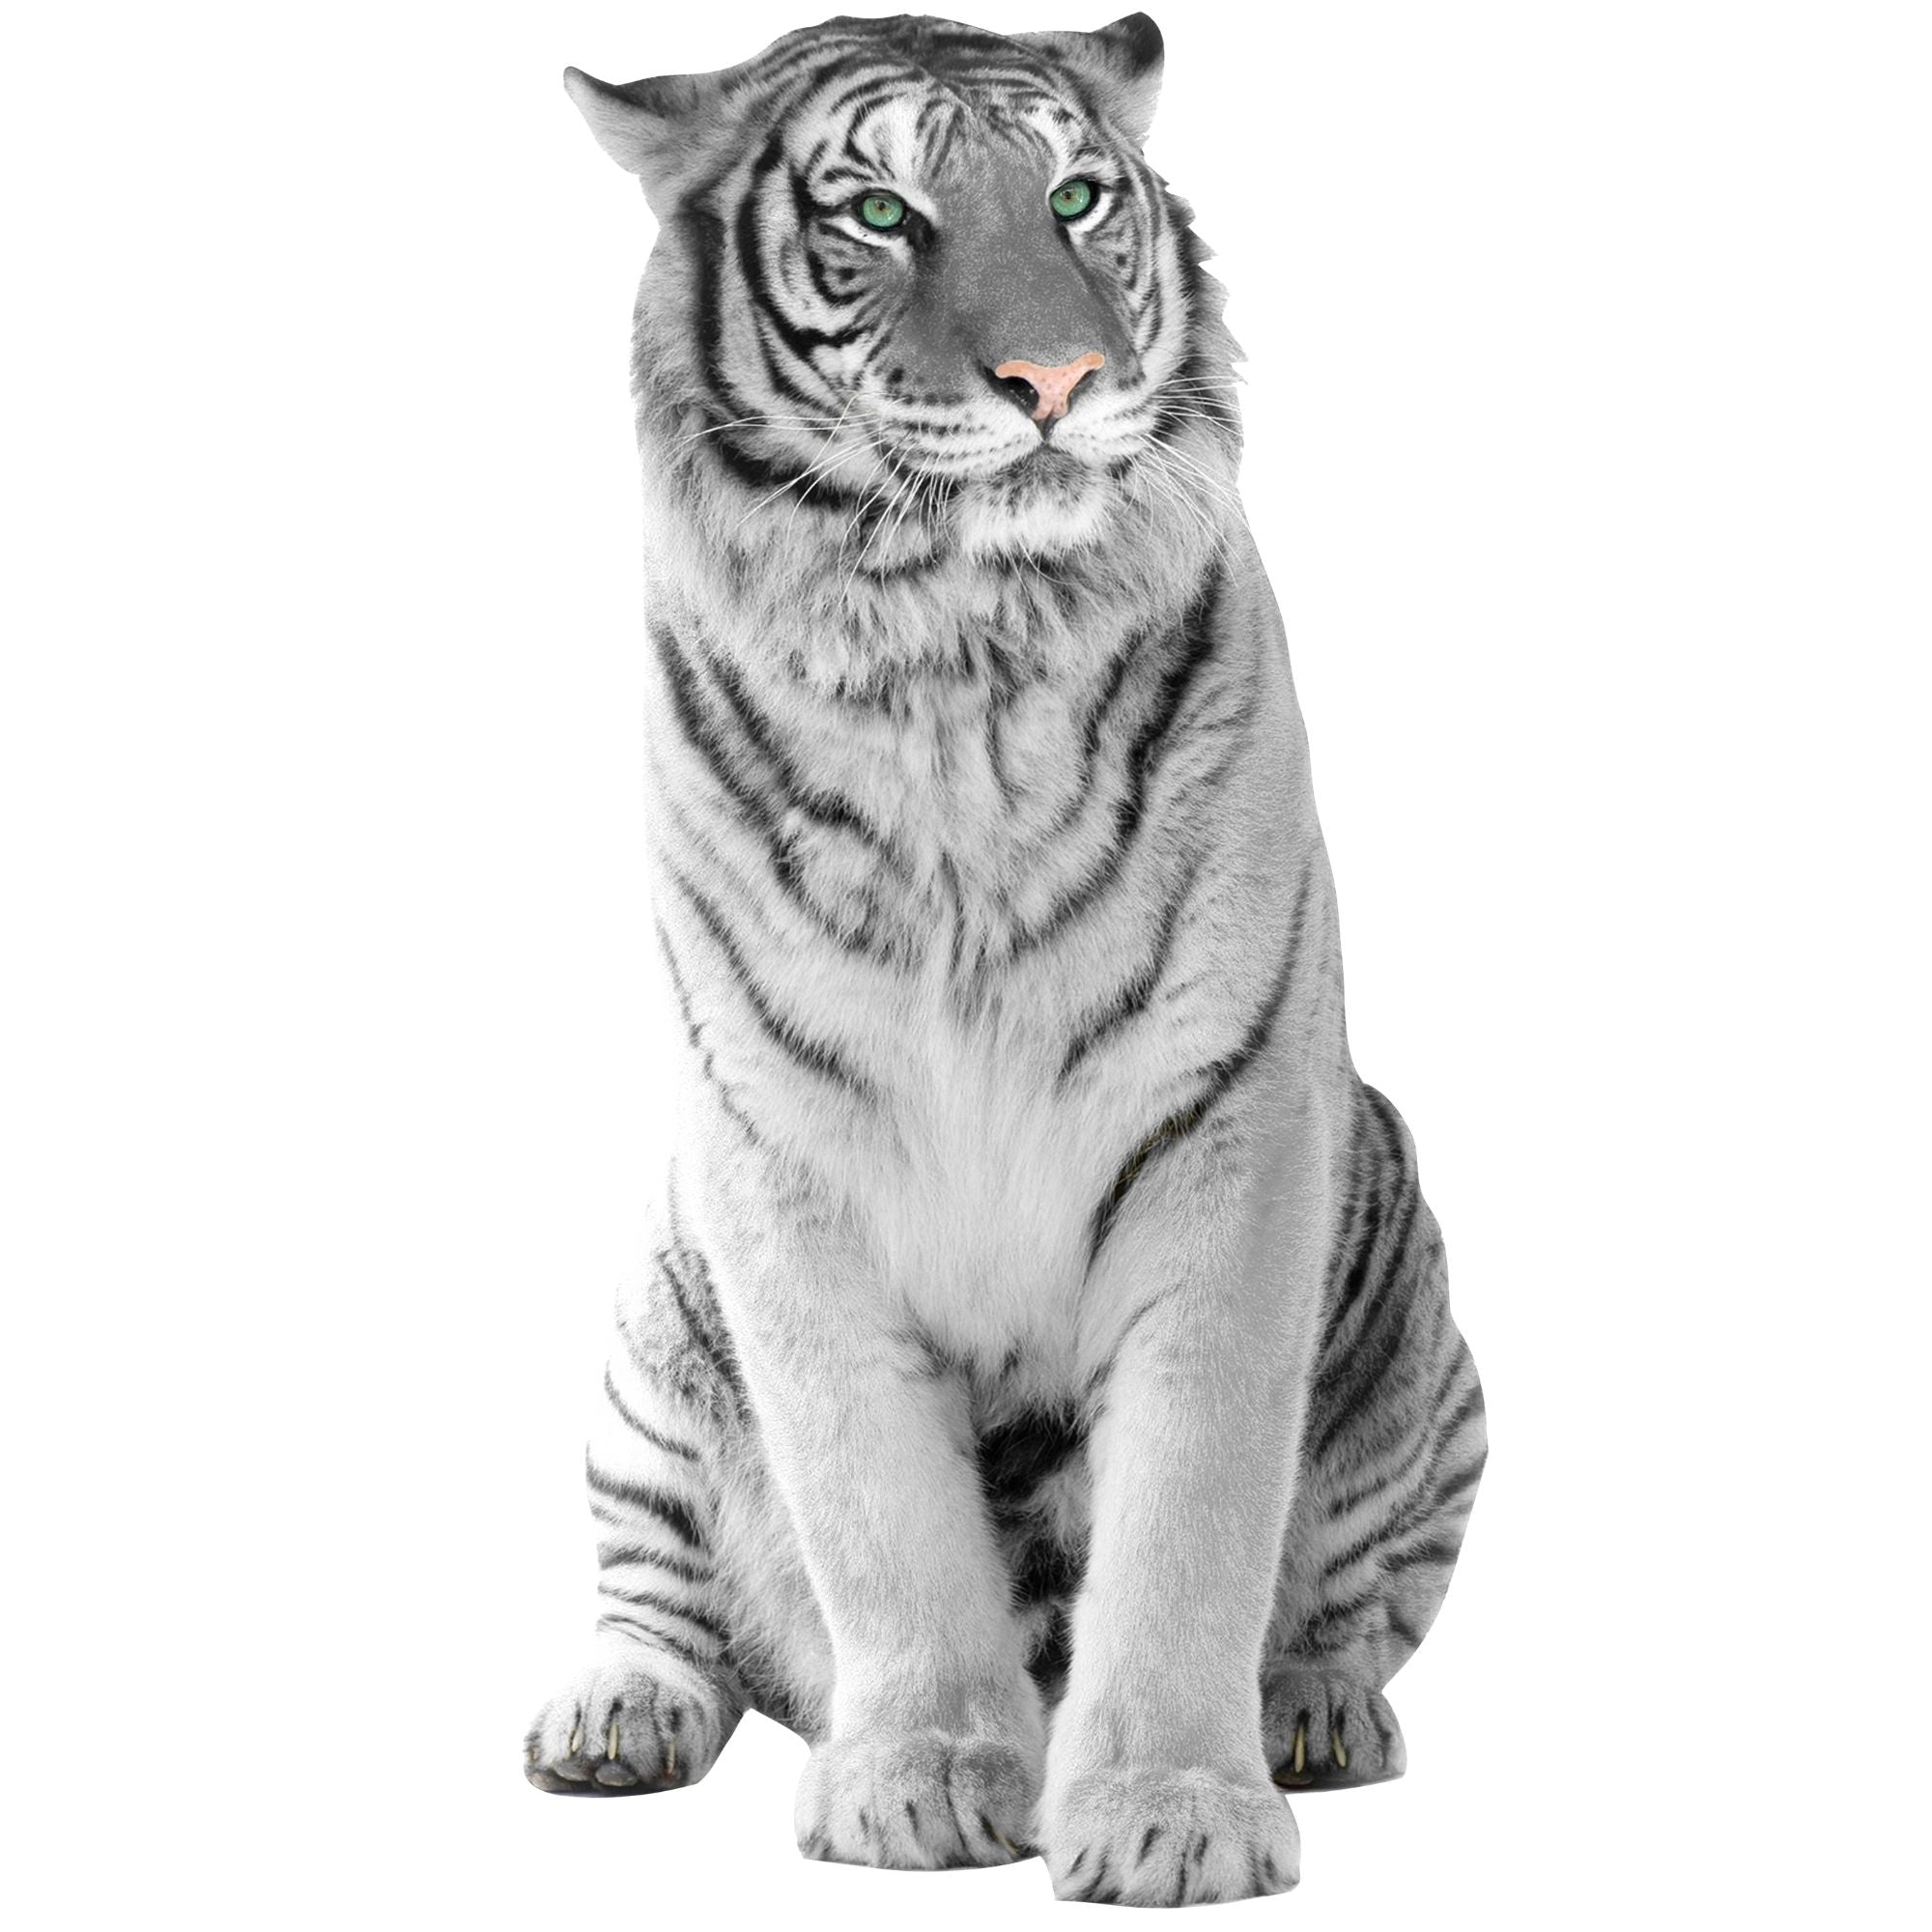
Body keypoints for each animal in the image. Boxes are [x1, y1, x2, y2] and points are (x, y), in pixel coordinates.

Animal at [524, 11, 1487, 1907]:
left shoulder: (1230, 1135)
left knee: (1353, 1601)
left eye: (1076, 197)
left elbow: (1196, 1514)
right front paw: (922, 1779)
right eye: (883, 212)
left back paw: (1315, 1710)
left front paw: (1177, 1815)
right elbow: (875, 1504)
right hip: (655, 1324)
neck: (958, 643)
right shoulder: (779, 1154)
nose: (1056, 377)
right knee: (660, 1592)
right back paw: (612, 1716)